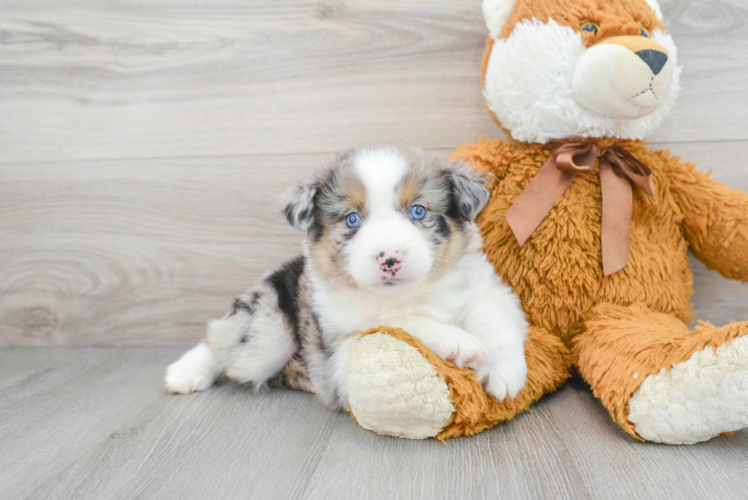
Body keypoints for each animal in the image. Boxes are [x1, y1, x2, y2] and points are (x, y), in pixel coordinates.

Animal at [165, 146, 524, 410]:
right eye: (352, 219)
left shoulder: (487, 288)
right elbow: (401, 321)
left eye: (418, 211)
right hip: (267, 331)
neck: (407, 293)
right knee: (221, 342)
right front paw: (455, 341)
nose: (389, 259)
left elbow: (492, 316)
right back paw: (185, 372)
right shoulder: (343, 349)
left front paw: (506, 373)